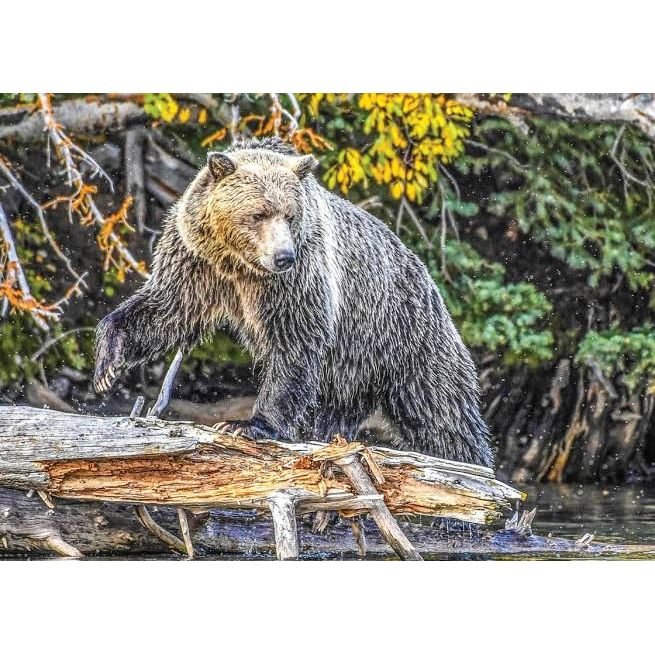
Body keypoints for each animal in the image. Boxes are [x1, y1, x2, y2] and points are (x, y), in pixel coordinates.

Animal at [94, 137, 494, 467]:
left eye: (289, 214)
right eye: (258, 213)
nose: (284, 256)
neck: (239, 266)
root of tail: (427, 274)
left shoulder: (297, 282)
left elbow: (294, 342)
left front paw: (248, 424)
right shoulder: (196, 260)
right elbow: (168, 307)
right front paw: (107, 364)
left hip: (403, 336)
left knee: (441, 412)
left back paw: (475, 470)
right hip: (354, 367)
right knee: (338, 413)